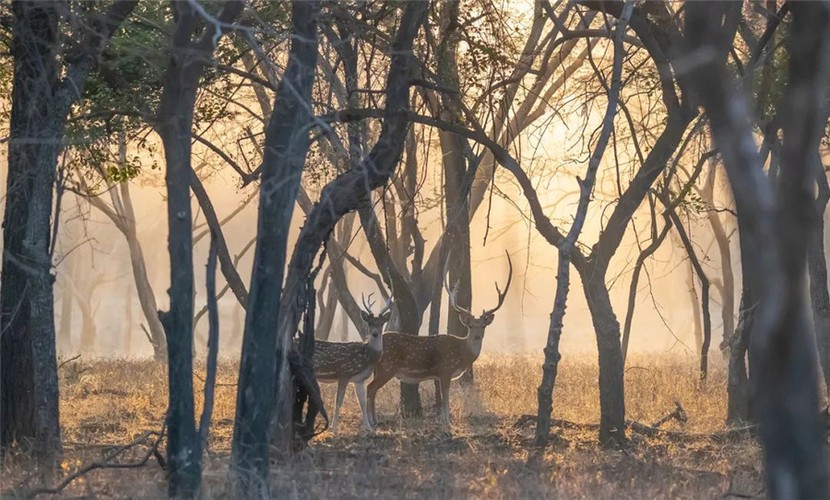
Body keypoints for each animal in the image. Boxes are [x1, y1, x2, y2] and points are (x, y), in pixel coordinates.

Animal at [312, 292, 394, 434]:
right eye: (369, 323)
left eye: (381, 323)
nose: (375, 334)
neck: (367, 358)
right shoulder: (344, 373)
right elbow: (338, 402)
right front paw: (334, 429)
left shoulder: (359, 379)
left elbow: (362, 403)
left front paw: (369, 428)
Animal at [366, 252, 510, 432]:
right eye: (470, 325)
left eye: (483, 326)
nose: (477, 336)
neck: (462, 354)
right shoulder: (445, 369)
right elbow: (446, 397)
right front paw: (448, 423)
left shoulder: (441, 374)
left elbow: (442, 398)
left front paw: (444, 422)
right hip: (387, 367)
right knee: (370, 388)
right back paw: (371, 423)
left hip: (380, 369)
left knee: (371, 390)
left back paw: (374, 421)